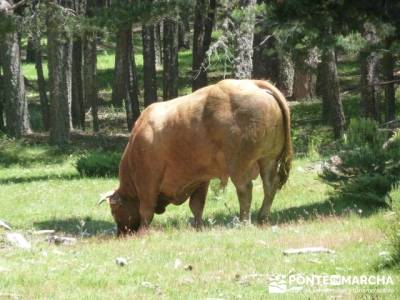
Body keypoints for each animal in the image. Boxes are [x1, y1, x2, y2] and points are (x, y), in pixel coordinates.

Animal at [98, 79, 292, 234]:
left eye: (114, 211)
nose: (121, 233)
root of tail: (255, 84)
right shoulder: (200, 179)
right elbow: (197, 206)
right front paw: (198, 226)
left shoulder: (148, 181)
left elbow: (146, 209)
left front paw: (143, 232)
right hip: (268, 160)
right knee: (270, 186)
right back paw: (263, 217)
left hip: (239, 165)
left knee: (245, 190)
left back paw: (244, 221)